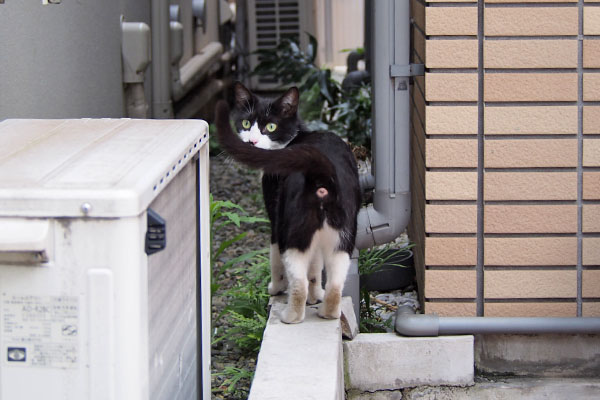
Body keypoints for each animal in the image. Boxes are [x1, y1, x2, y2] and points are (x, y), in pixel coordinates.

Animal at [214, 83, 360, 324]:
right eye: (246, 124)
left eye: (271, 126)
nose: (252, 142)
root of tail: (321, 172)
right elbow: (315, 268)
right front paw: (316, 295)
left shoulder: (275, 218)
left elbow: (276, 261)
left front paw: (275, 288)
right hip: (343, 236)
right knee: (335, 283)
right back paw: (328, 312)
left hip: (290, 230)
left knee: (297, 281)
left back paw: (290, 316)